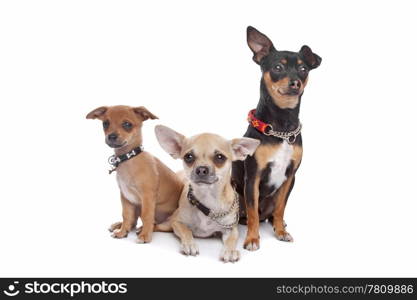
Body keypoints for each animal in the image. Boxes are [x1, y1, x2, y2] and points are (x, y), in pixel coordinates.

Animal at [232, 26, 320, 251]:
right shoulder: (253, 177)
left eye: (303, 69)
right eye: (278, 67)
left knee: (271, 213)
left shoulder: (290, 177)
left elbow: (281, 207)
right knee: (249, 215)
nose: (295, 83)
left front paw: (280, 231)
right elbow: (252, 212)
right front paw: (252, 239)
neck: (282, 127)